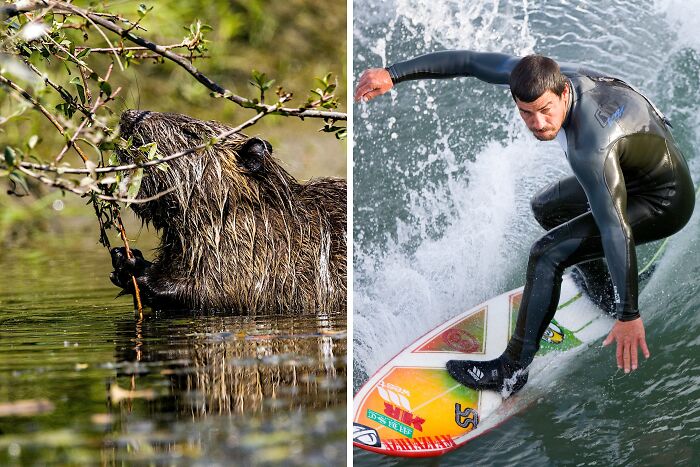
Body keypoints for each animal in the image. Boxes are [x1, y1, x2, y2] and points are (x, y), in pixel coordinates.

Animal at [109, 110, 348, 314]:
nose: (128, 116)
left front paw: (136, 267)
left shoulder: (261, 255)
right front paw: (122, 257)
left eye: (190, 133)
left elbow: (221, 293)